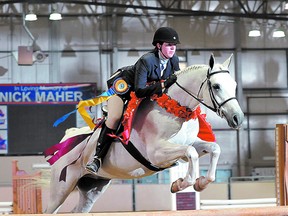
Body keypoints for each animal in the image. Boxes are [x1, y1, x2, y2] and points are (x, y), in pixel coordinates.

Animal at [44, 53, 243, 213]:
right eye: (216, 86)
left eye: (234, 85)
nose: (238, 119)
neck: (174, 109)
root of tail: (68, 138)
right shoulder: (156, 153)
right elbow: (191, 153)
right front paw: (180, 184)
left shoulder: (187, 144)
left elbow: (213, 148)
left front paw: (201, 182)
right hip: (61, 189)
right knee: (50, 209)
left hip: (93, 187)